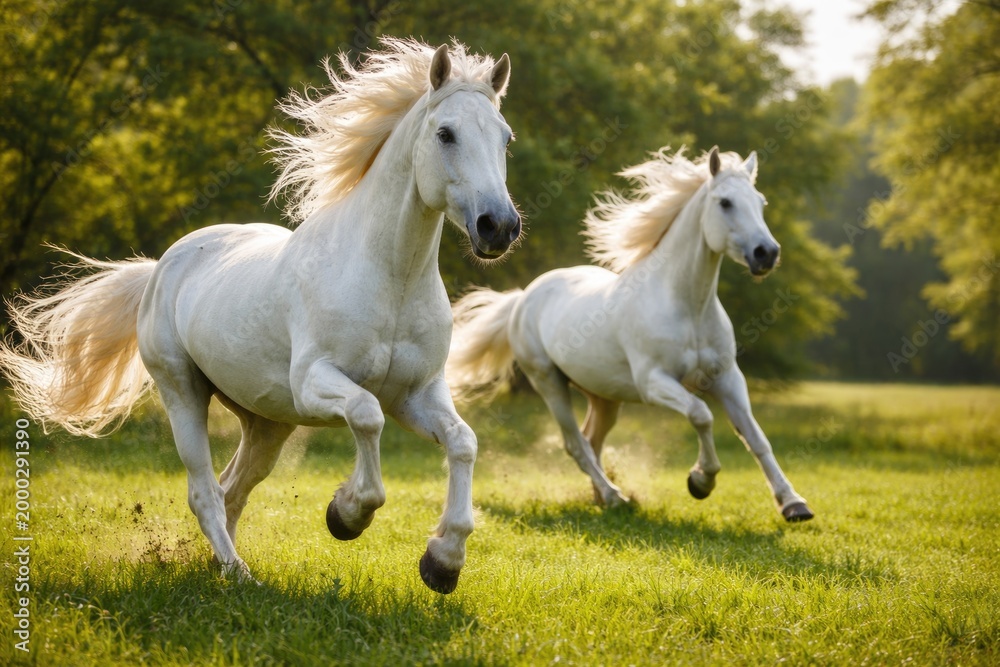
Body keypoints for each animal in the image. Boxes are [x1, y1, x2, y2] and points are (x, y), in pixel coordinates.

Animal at [0, 39, 520, 594]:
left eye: (505, 138)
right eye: (445, 133)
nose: (498, 226)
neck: (391, 279)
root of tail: (161, 267)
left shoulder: (417, 393)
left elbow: (462, 442)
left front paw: (443, 561)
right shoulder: (316, 382)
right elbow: (366, 416)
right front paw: (346, 514)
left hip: (268, 422)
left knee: (233, 488)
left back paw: (219, 565)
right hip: (182, 391)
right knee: (205, 492)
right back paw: (237, 573)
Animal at [447, 147, 814, 522]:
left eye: (761, 202)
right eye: (725, 202)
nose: (766, 253)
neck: (688, 307)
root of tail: (523, 298)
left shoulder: (727, 378)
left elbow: (755, 437)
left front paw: (793, 504)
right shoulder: (654, 382)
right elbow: (701, 414)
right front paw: (700, 481)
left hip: (604, 396)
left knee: (592, 440)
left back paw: (602, 496)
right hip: (549, 382)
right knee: (576, 443)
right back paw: (614, 496)